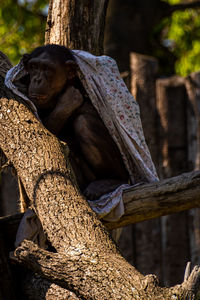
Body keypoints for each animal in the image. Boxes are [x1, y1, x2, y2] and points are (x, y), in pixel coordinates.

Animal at [21, 44, 128, 199]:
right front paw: (67, 102)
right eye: (34, 67)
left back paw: (111, 181)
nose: (37, 79)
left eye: (47, 69)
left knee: (84, 123)